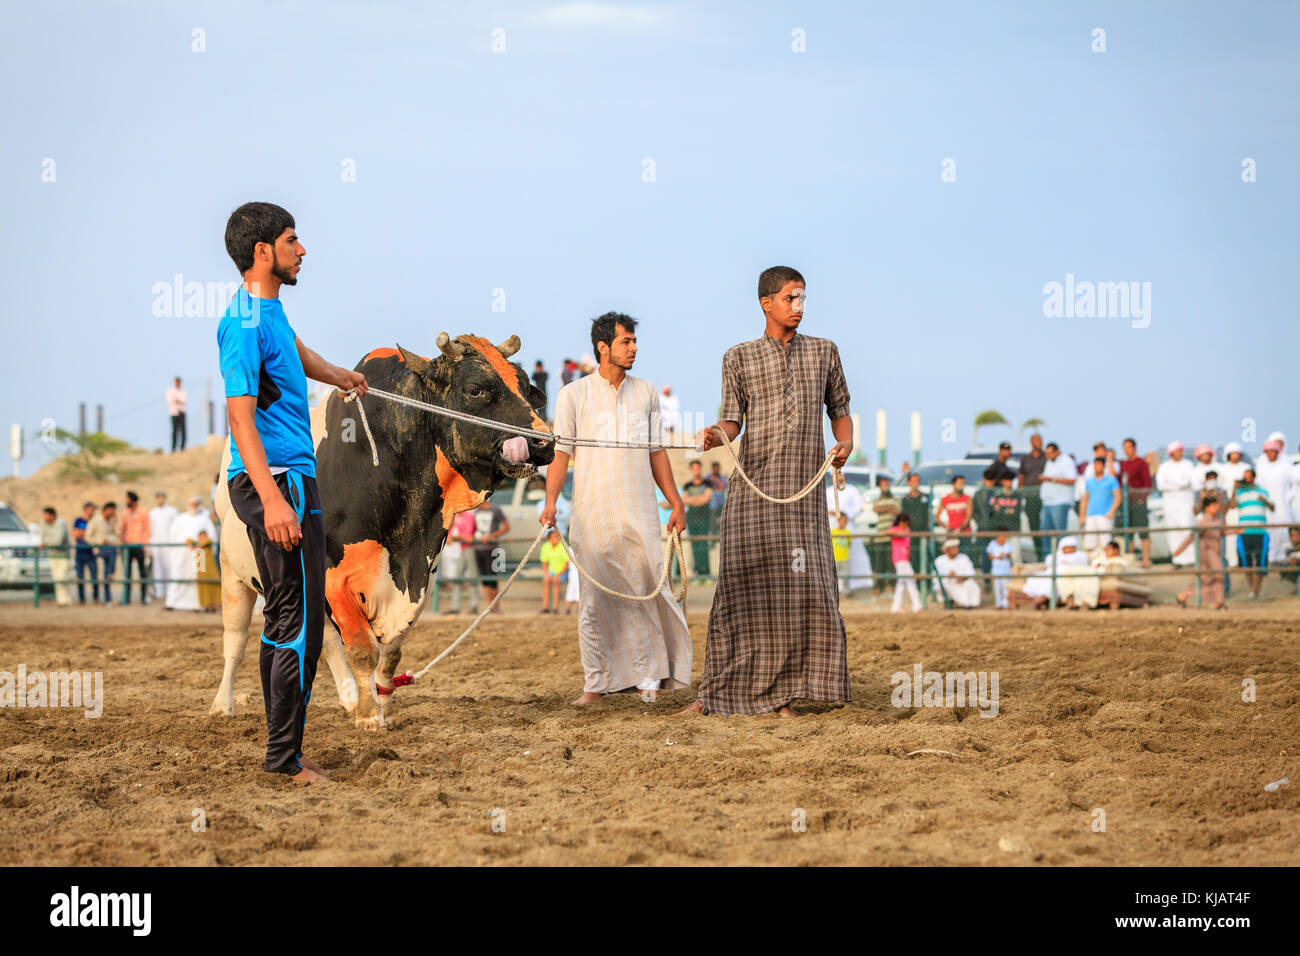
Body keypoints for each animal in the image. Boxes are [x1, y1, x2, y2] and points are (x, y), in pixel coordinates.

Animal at [208, 332, 553, 728]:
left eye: (526, 386)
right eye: (476, 390)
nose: (545, 441)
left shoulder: (420, 575)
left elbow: (390, 651)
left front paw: (381, 700)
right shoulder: (333, 576)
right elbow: (360, 649)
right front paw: (370, 716)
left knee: (325, 641)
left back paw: (347, 698)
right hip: (233, 572)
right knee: (234, 641)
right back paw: (223, 704)